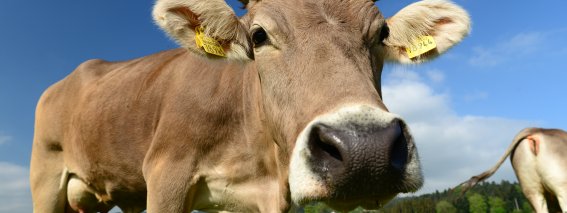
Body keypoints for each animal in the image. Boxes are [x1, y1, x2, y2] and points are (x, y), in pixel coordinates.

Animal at [31, 0, 472, 211]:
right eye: (259, 35)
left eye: (381, 33)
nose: (368, 151)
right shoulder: (165, 175)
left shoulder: (268, 196)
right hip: (45, 178)